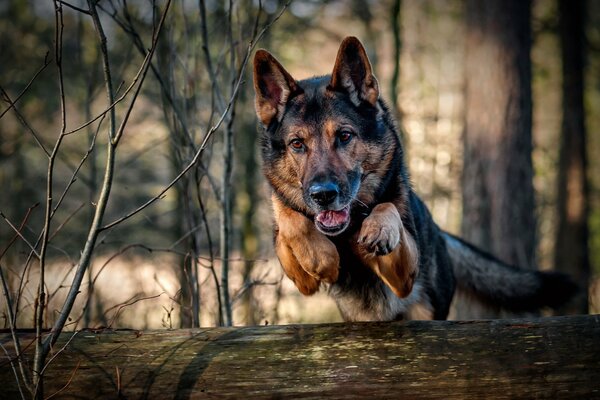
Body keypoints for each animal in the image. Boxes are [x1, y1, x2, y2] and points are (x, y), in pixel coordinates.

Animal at [252, 36, 576, 322]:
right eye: (297, 144)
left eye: (344, 136)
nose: (322, 195)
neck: (347, 231)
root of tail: (439, 232)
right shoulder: (301, 279)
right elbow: (289, 220)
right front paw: (322, 258)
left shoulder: (405, 274)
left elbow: (388, 207)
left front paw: (379, 228)